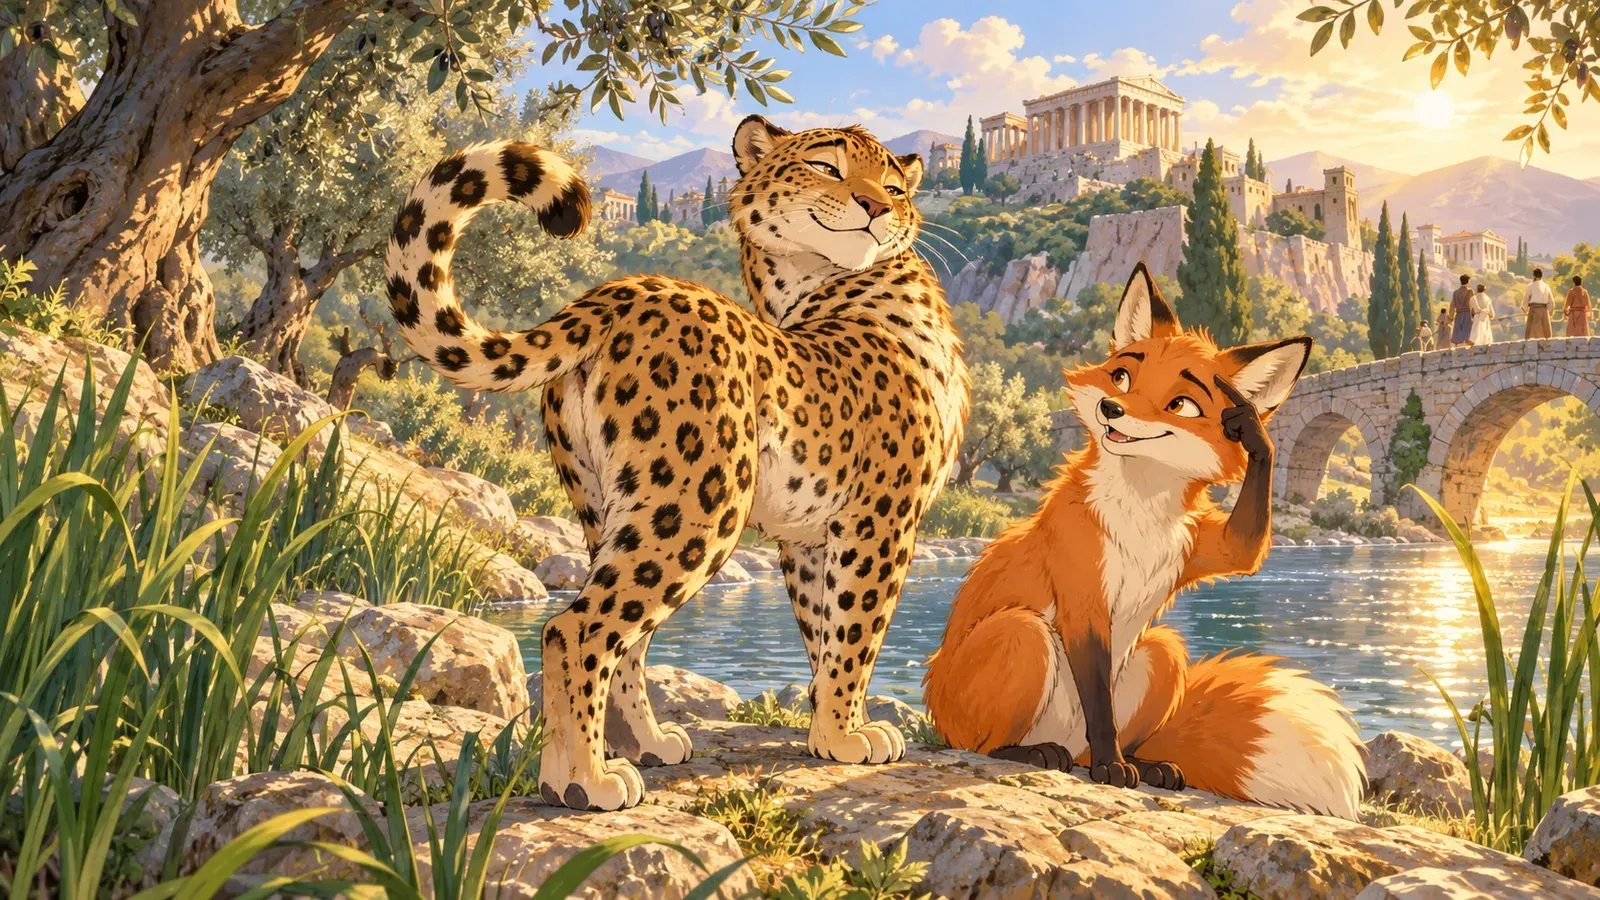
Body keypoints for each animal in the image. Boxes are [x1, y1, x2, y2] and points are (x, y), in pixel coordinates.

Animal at [382, 114, 969, 811]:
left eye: (895, 186)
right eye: (828, 167)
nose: (878, 207)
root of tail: (615, 292)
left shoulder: (808, 535)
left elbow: (823, 632)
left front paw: (825, 733)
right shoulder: (881, 518)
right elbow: (857, 630)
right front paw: (848, 737)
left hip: (607, 506)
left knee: (625, 638)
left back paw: (647, 746)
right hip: (696, 506)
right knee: (575, 629)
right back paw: (582, 781)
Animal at [923, 263, 1365, 818]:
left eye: (1182, 404)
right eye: (1121, 377)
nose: (1111, 408)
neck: (1140, 512)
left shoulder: (1200, 545)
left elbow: (1245, 550)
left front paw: (1254, 430)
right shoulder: (1082, 595)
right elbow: (1099, 703)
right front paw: (1112, 768)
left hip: (1162, 652)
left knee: (1105, 728)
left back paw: (1146, 765)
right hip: (1021, 637)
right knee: (981, 743)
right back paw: (1035, 754)